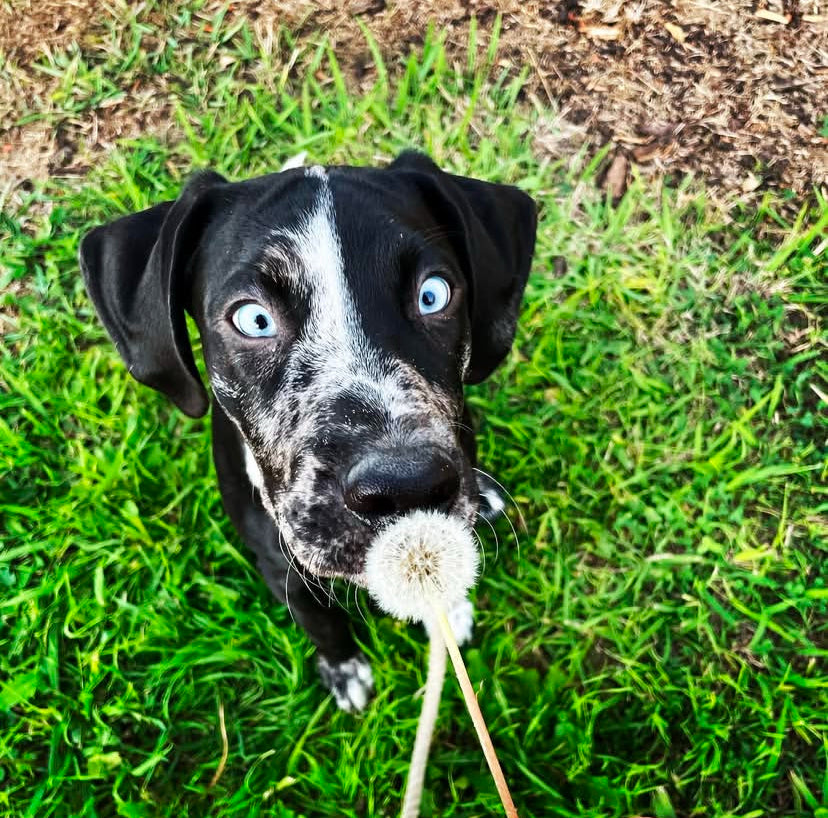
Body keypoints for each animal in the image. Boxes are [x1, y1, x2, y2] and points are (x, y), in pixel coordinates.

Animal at [79, 151, 536, 708]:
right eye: (254, 319)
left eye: (433, 294)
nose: (405, 486)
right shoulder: (284, 571)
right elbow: (324, 625)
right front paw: (344, 671)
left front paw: (448, 608)